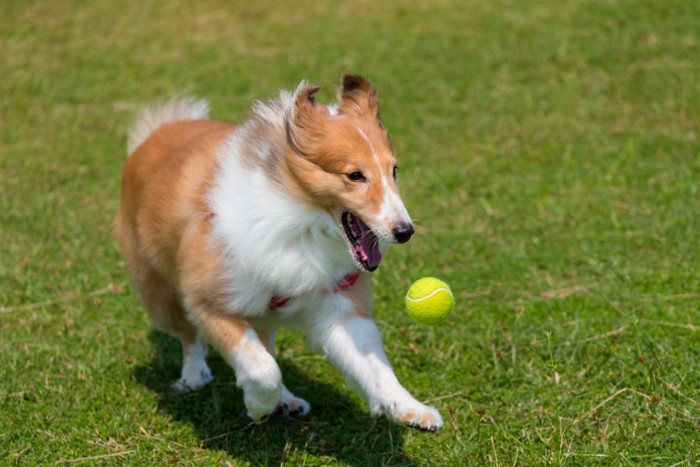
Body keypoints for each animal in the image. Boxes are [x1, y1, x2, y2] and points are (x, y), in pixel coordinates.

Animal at [113, 76, 442, 432]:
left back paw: (287, 401)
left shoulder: (337, 301)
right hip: (161, 293)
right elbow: (262, 367)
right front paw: (258, 405)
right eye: (355, 175)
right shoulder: (210, 301)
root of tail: (156, 132)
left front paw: (411, 408)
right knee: (190, 337)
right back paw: (194, 376)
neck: (302, 220)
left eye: (394, 171)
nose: (405, 232)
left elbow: (375, 366)